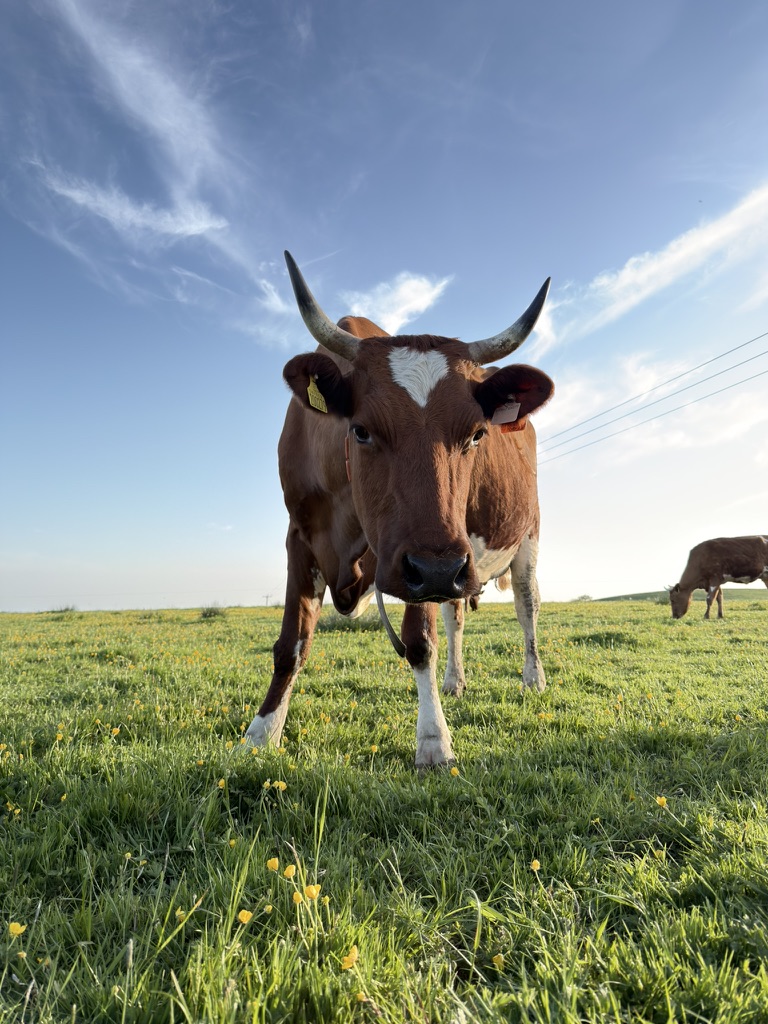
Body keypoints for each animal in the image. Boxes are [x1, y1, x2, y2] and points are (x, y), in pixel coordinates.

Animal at [246, 251, 553, 767]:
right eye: (361, 430)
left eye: (476, 434)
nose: (439, 568)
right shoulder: (301, 536)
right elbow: (291, 644)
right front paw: (261, 733)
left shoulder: (424, 559)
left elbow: (419, 643)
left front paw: (433, 741)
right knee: (456, 614)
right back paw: (455, 682)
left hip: (515, 540)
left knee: (526, 605)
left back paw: (533, 679)